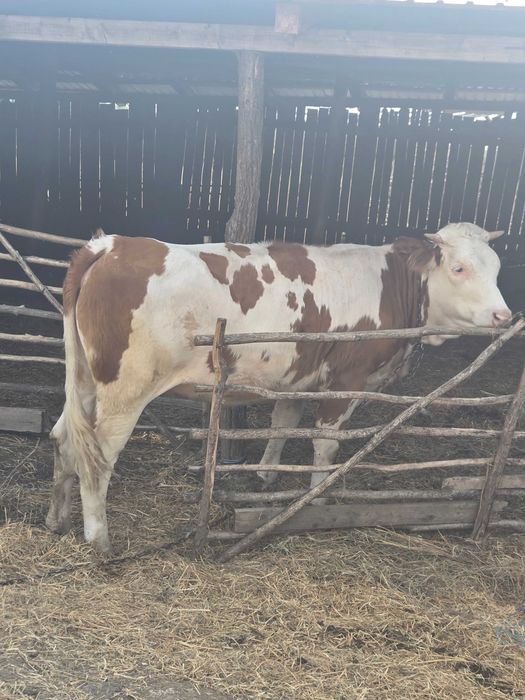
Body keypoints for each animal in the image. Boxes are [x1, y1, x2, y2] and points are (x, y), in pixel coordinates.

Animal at [46, 222, 511, 552]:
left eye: (496, 267)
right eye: (458, 268)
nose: (503, 316)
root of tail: (108, 247)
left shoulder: (297, 376)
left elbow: (283, 424)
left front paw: (268, 475)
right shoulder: (348, 379)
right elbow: (326, 444)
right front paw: (317, 499)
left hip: (85, 381)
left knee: (64, 438)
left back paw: (57, 520)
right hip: (125, 390)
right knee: (98, 456)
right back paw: (99, 539)